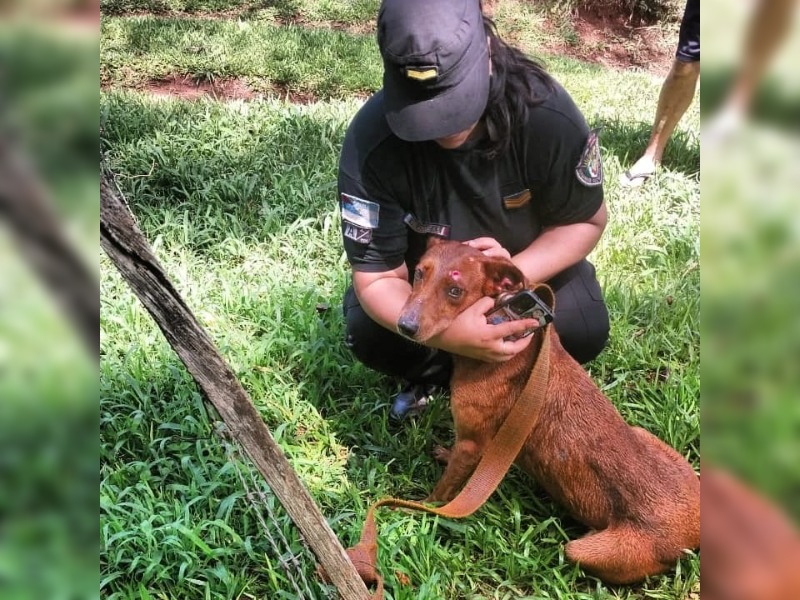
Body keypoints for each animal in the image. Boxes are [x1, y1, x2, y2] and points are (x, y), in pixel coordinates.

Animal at [396, 240, 696, 584]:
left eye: (455, 291)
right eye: (419, 273)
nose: (404, 325)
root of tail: (693, 533)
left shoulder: (471, 443)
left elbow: (442, 491)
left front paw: (417, 510)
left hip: (585, 550)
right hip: (646, 435)